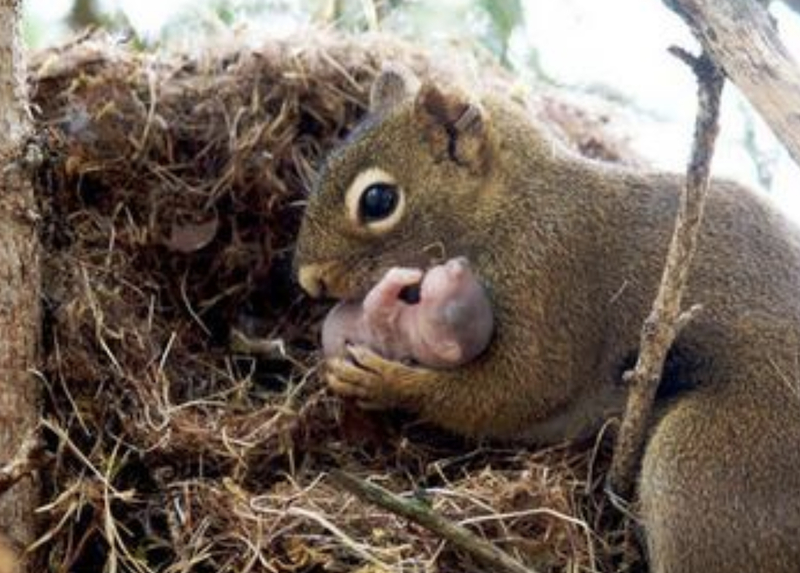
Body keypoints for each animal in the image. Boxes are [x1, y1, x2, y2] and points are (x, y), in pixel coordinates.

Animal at [320, 256, 494, 368]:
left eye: (453, 310)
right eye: (477, 285)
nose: (461, 263)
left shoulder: (385, 328)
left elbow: (374, 299)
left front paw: (407, 274)